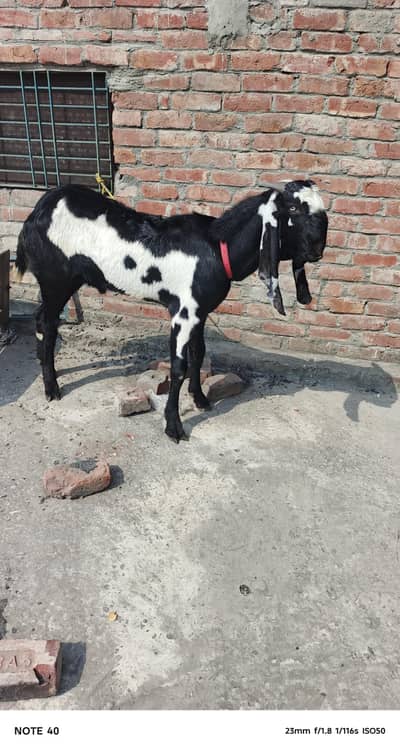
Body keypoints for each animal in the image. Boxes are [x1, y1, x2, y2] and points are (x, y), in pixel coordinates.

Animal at [15, 180, 328, 442]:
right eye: (293, 208)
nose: (318, 247)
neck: (218, 246)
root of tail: (39, 210)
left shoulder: (199, 312)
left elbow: (199, 354)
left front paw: (200, 399)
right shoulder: (183, 313)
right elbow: (178, 367)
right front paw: (173, 426)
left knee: (45, 321)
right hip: (55, 280)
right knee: (45, 322)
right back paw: (51, 388)